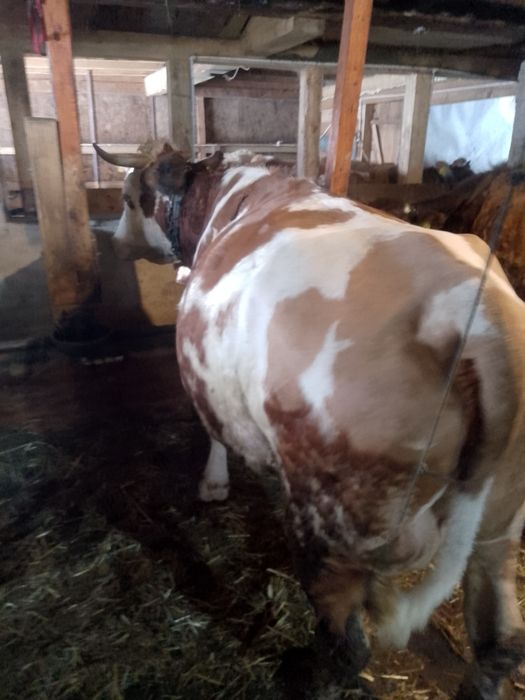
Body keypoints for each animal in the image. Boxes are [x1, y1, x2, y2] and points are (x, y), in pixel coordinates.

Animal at [98, 143, 525, 698]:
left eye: (129, 198)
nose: (114, 243)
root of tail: (482, 327)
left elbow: (213, 431)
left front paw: (213, 483)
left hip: (327, 516)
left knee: (347, 638)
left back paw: (311, 673)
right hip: (499, 526)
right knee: (499, 640)